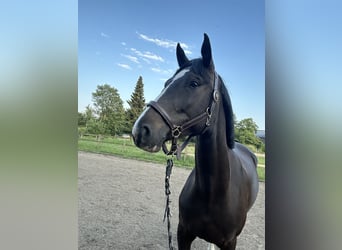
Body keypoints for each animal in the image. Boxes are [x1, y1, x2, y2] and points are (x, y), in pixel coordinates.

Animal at [132, 33, 258, 250]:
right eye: (167, 83)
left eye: (194, 83)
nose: (140, 130)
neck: (213, 192)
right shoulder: (183, 233)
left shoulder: (230, 242)